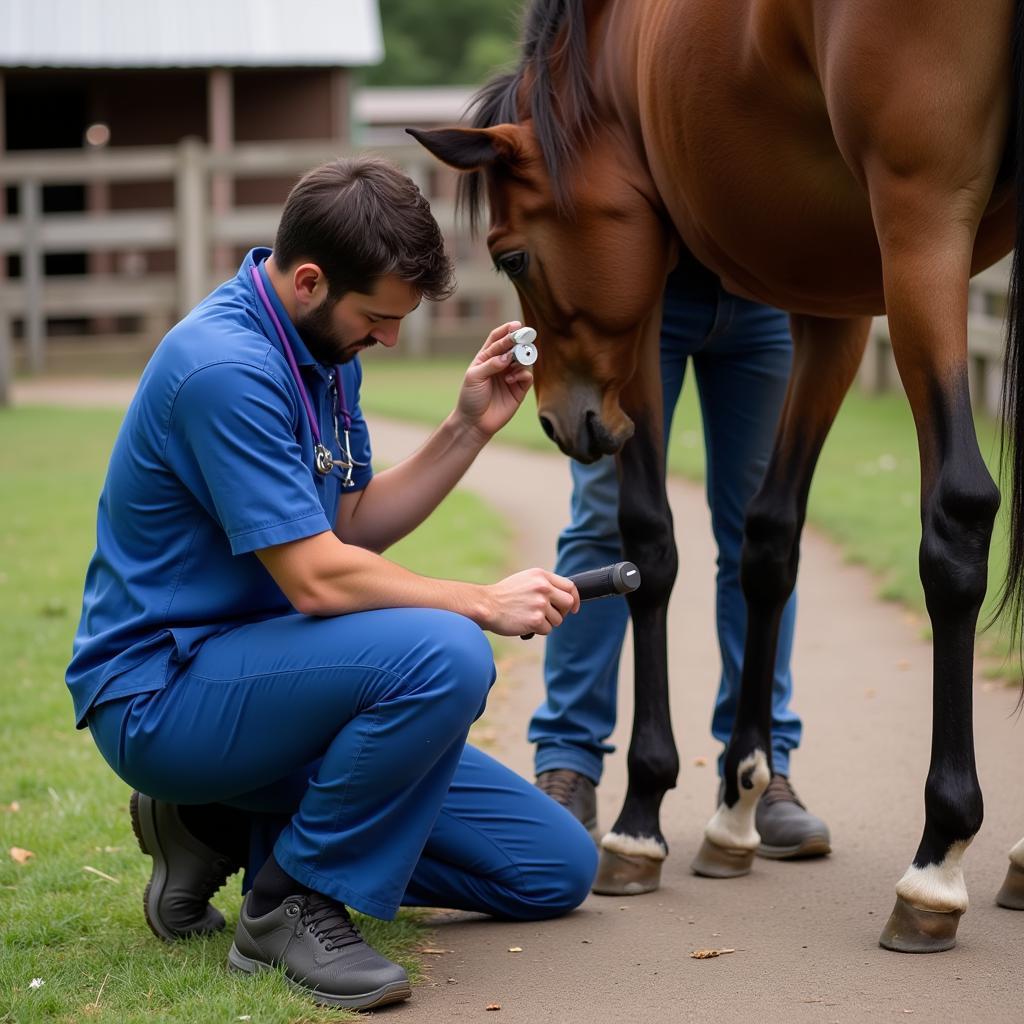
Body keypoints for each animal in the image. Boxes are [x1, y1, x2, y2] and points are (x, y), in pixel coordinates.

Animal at [411, 0, 1024, 950]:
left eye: (511, 257)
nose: (558, 422)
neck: (612, 56)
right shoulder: (832, 298)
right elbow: (766, 540)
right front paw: (736, 803)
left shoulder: (648, 306)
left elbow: (651, 549)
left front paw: (641, 815)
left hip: (923, 226)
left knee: (957, 515)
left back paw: (936, 865)